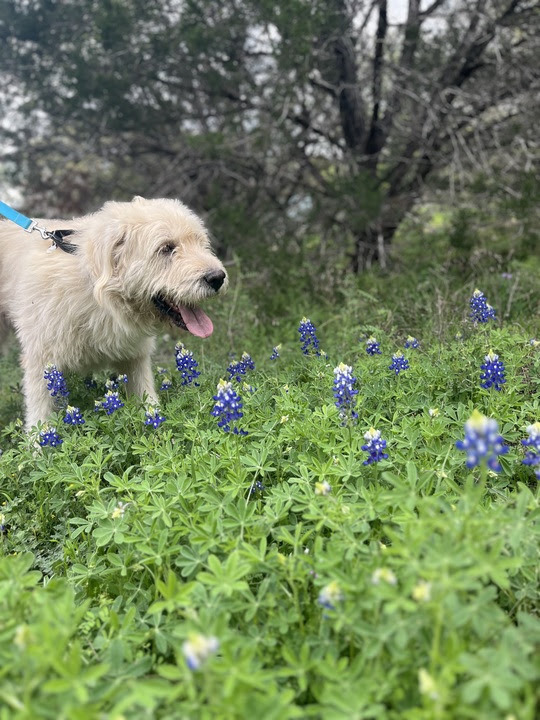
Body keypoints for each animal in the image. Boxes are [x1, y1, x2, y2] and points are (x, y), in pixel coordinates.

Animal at [0, 195, 228, 428]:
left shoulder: (134, 356)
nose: (217, 277)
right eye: (166, 248)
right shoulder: (41, 361)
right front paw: (38, 439)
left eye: (201, 243)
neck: (98, 294)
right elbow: (40, 417)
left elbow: (146, 400)